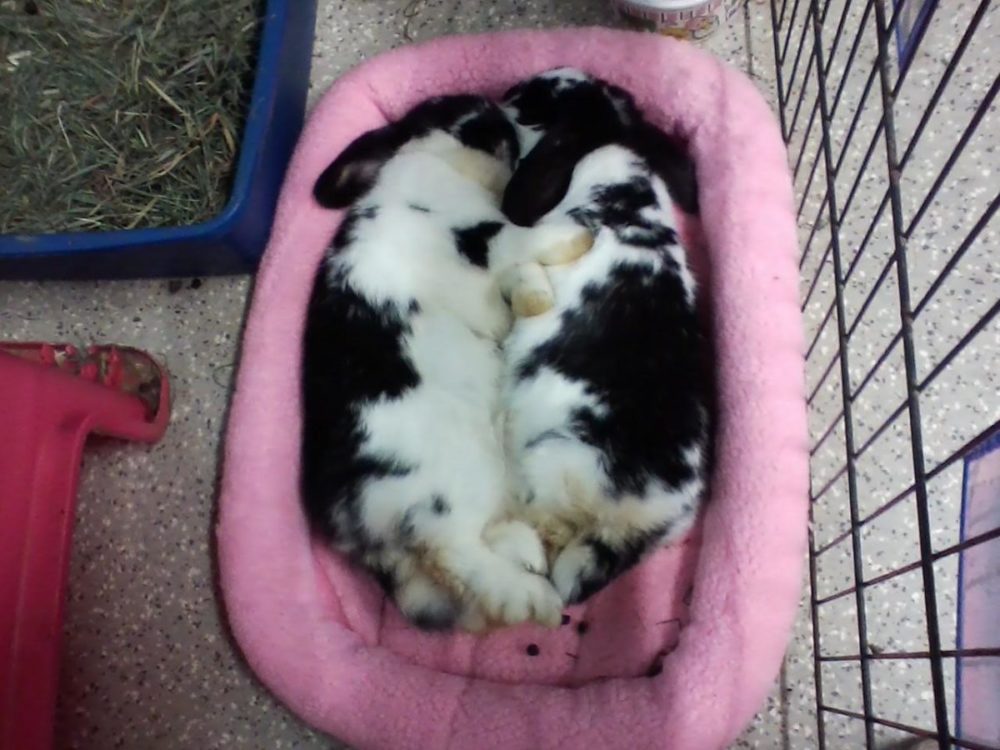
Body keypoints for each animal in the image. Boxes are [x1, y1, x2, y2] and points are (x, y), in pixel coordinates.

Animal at [301, 94, 593, 631]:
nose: (498, 114)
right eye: (448, 107)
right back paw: (534, 600)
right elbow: (529, 238)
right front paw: (580, 236)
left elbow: (519, 279)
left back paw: (525, 554)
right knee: (453, 554)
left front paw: (534, 298)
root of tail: (362, 533)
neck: (442, 166)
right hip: (450, 489)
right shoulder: (486, 235)